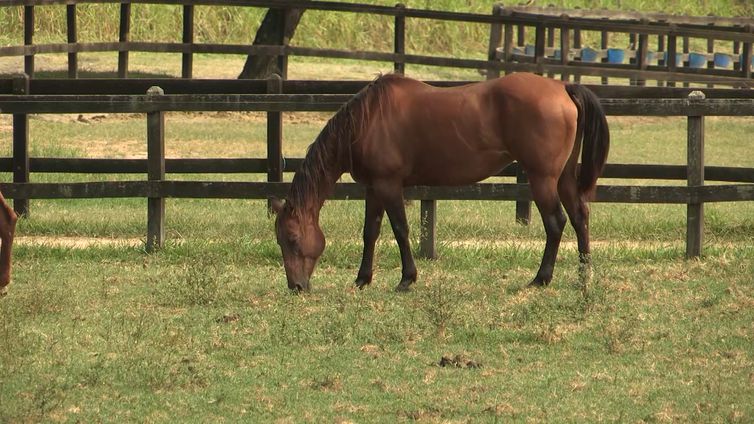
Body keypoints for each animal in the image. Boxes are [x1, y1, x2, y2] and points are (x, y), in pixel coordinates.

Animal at [268, 72, 608, 292]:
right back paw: (584, 276)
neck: (368, 120)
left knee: (556, 222)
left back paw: (541, 278)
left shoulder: (389, 186)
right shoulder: (373, 188)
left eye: (293, 239)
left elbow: (400, 230)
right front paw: (363, 279)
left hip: (542, 179)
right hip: (563, 177)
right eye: (280, 241)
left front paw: (407, 279)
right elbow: (370, 232)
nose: (296, 286)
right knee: (579, 216)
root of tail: (562, 87)